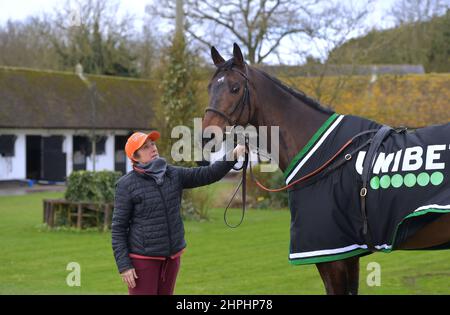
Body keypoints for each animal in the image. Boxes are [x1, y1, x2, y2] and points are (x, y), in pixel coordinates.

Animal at [201, 43, 450, 296]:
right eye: (210, 87)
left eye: (235, 88)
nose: (207, 136)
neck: (328, 156)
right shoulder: (348, 250)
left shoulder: (330, 255)